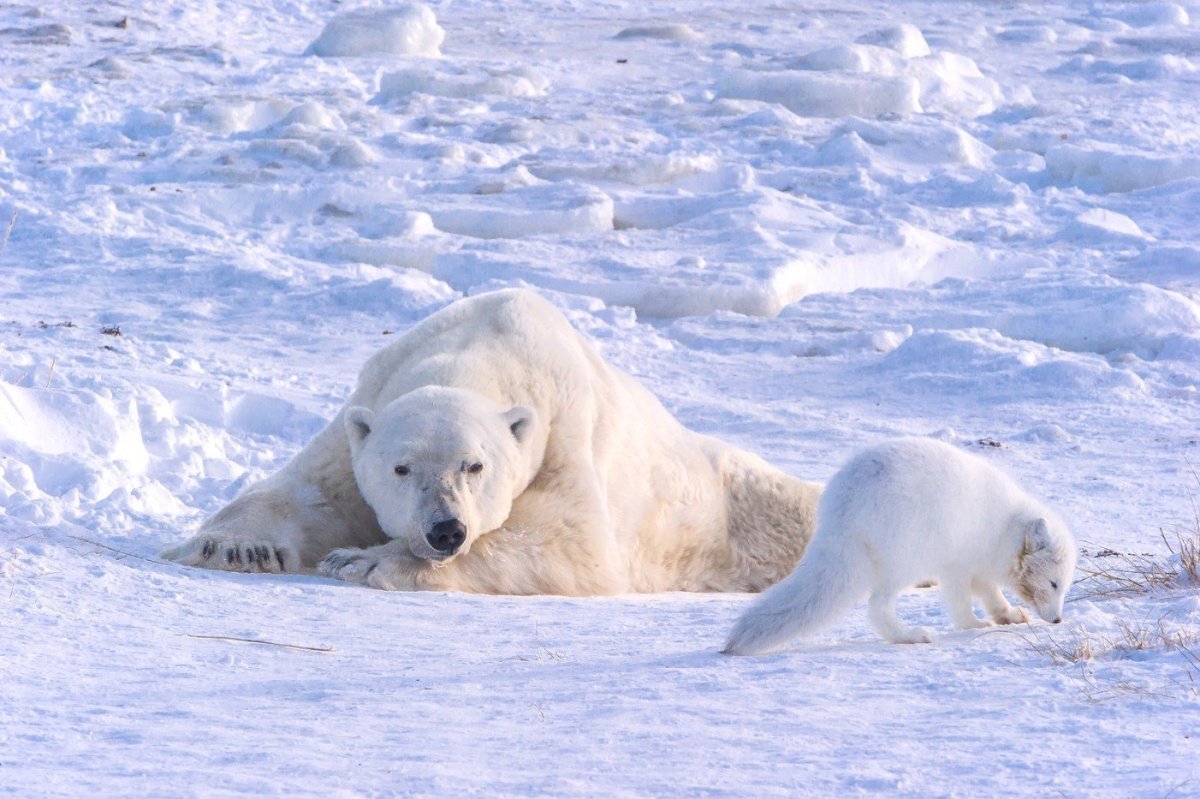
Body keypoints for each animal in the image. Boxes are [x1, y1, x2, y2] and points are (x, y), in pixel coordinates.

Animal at [162, 289, 820, 595]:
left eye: (474, 466)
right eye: (402, 469)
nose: (445, 530)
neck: (484, 348)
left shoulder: (560, 433)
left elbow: (570, 545)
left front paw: (365, 559)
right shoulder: (366, 409)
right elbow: (314, 490)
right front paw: (236, 548)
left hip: (739, 509)